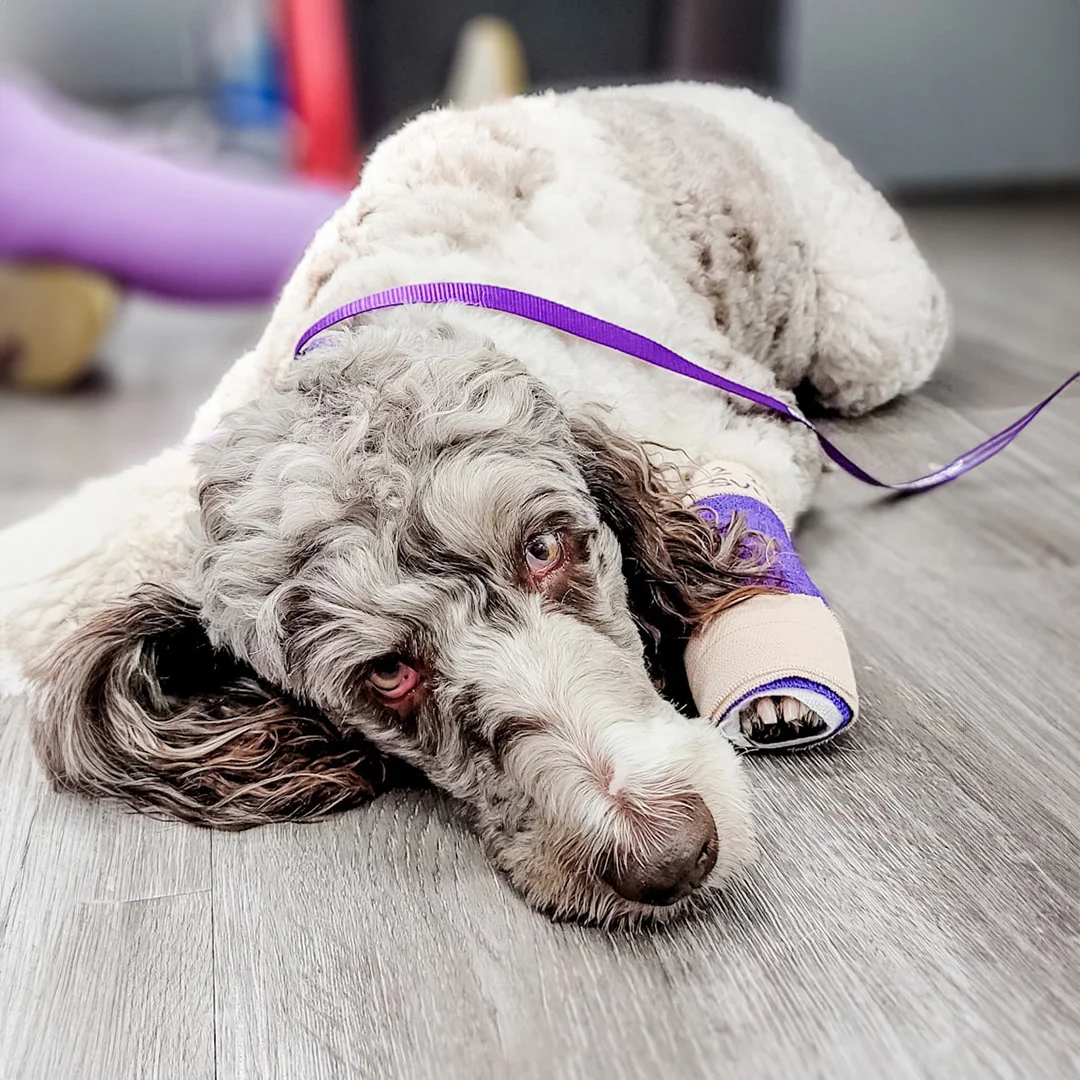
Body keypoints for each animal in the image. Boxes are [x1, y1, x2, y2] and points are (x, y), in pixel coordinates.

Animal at [29, 84, 950, 924]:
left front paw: (774, 687)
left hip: (872, 332)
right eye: (387, 673)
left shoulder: (745, 428)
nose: (667, 859)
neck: (411, 296)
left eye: (544, 549)